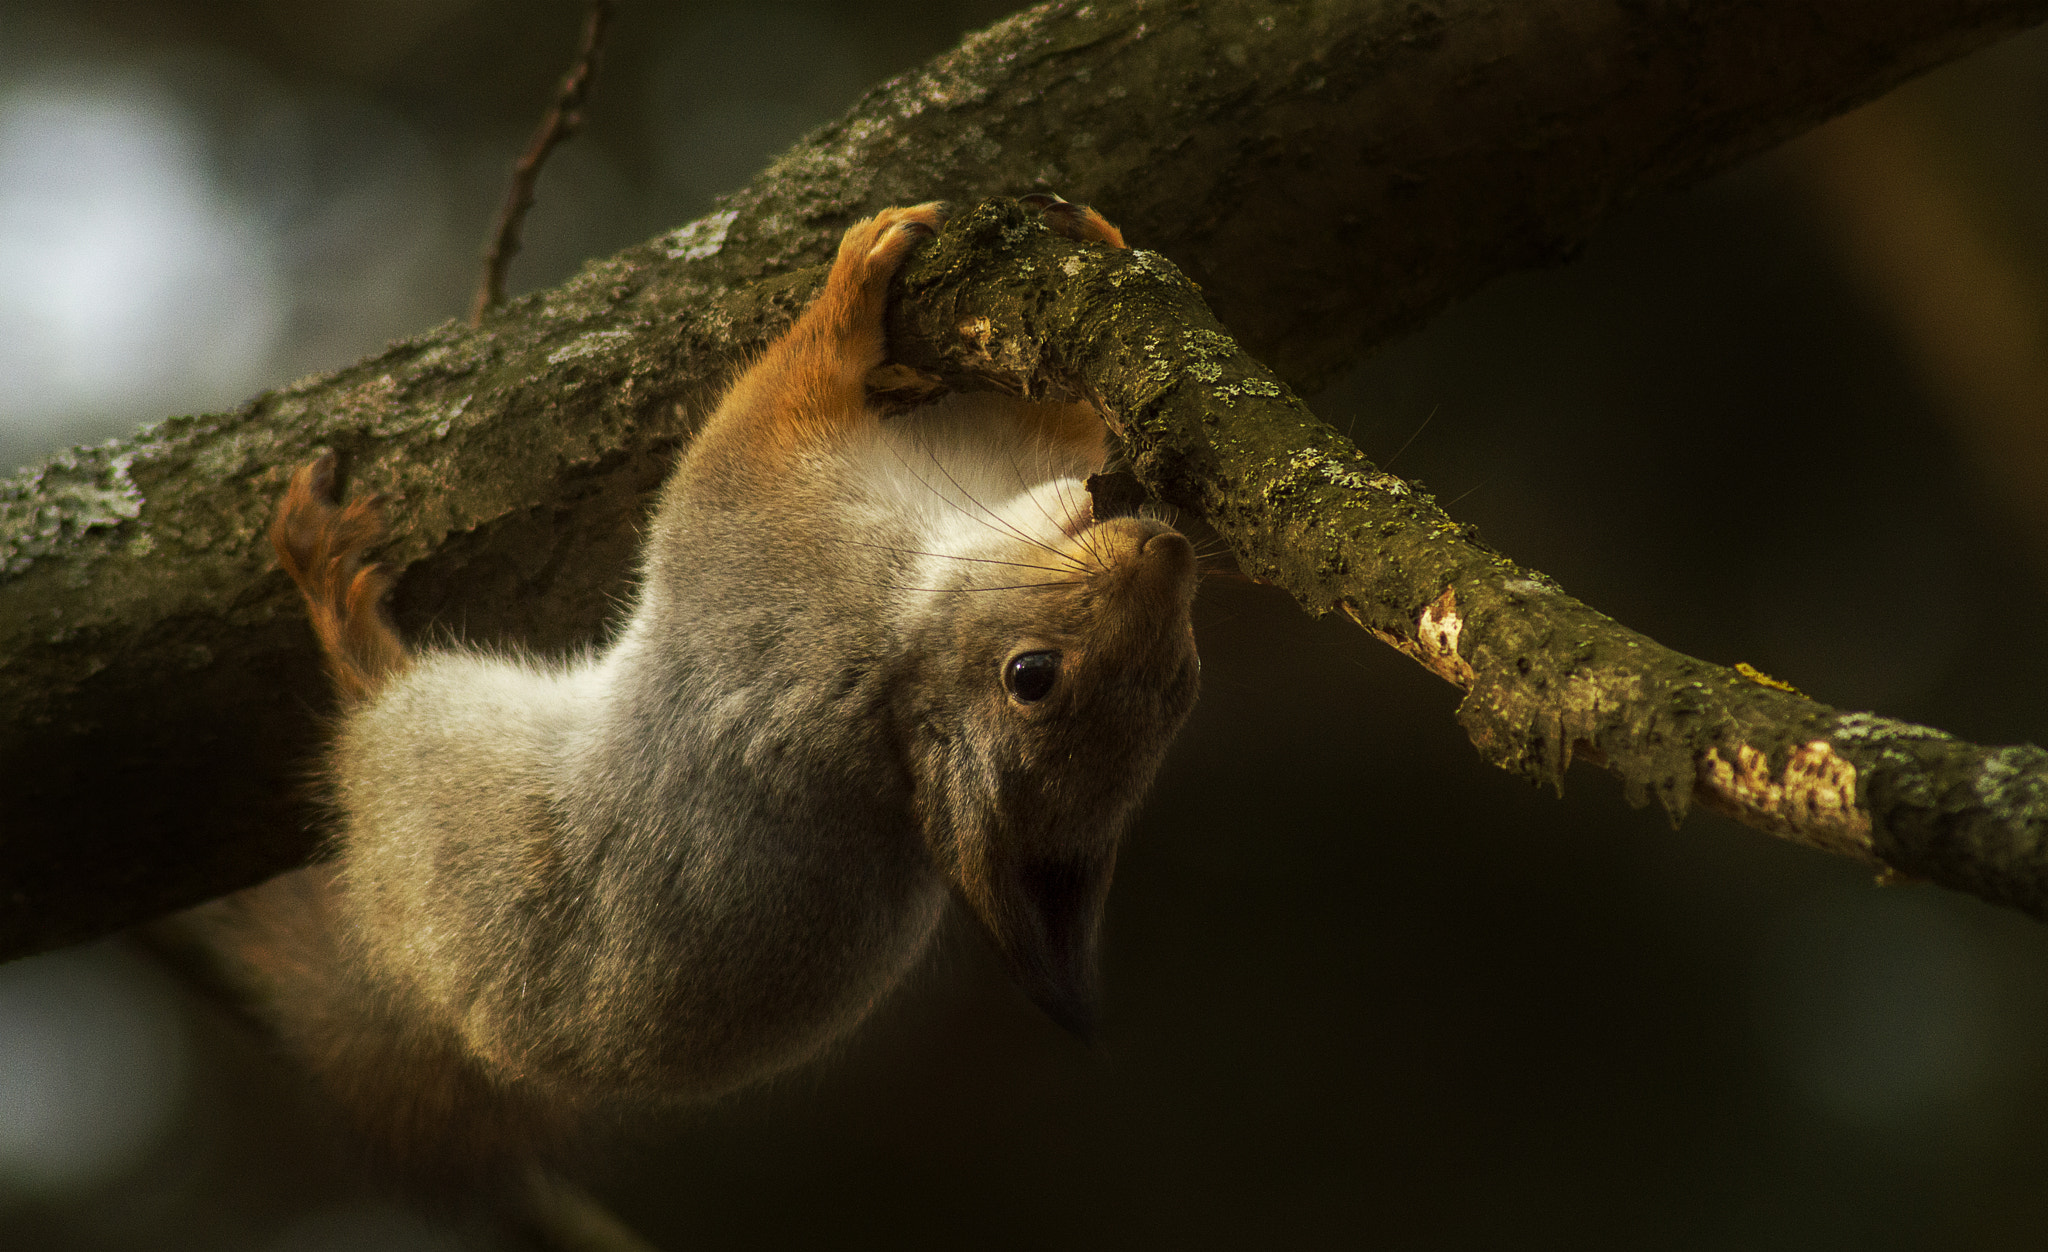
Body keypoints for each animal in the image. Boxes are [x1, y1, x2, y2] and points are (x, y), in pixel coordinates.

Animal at [190, 198, 1202, 1189]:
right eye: (1034, 678)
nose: (1171, 549)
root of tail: (422, 991)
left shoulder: (773, 549)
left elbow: (762, 420)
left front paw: (846, 295)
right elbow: (1062, 422)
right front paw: (1094, 239)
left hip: (434, 749)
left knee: (368, 713)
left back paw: (335, 596)